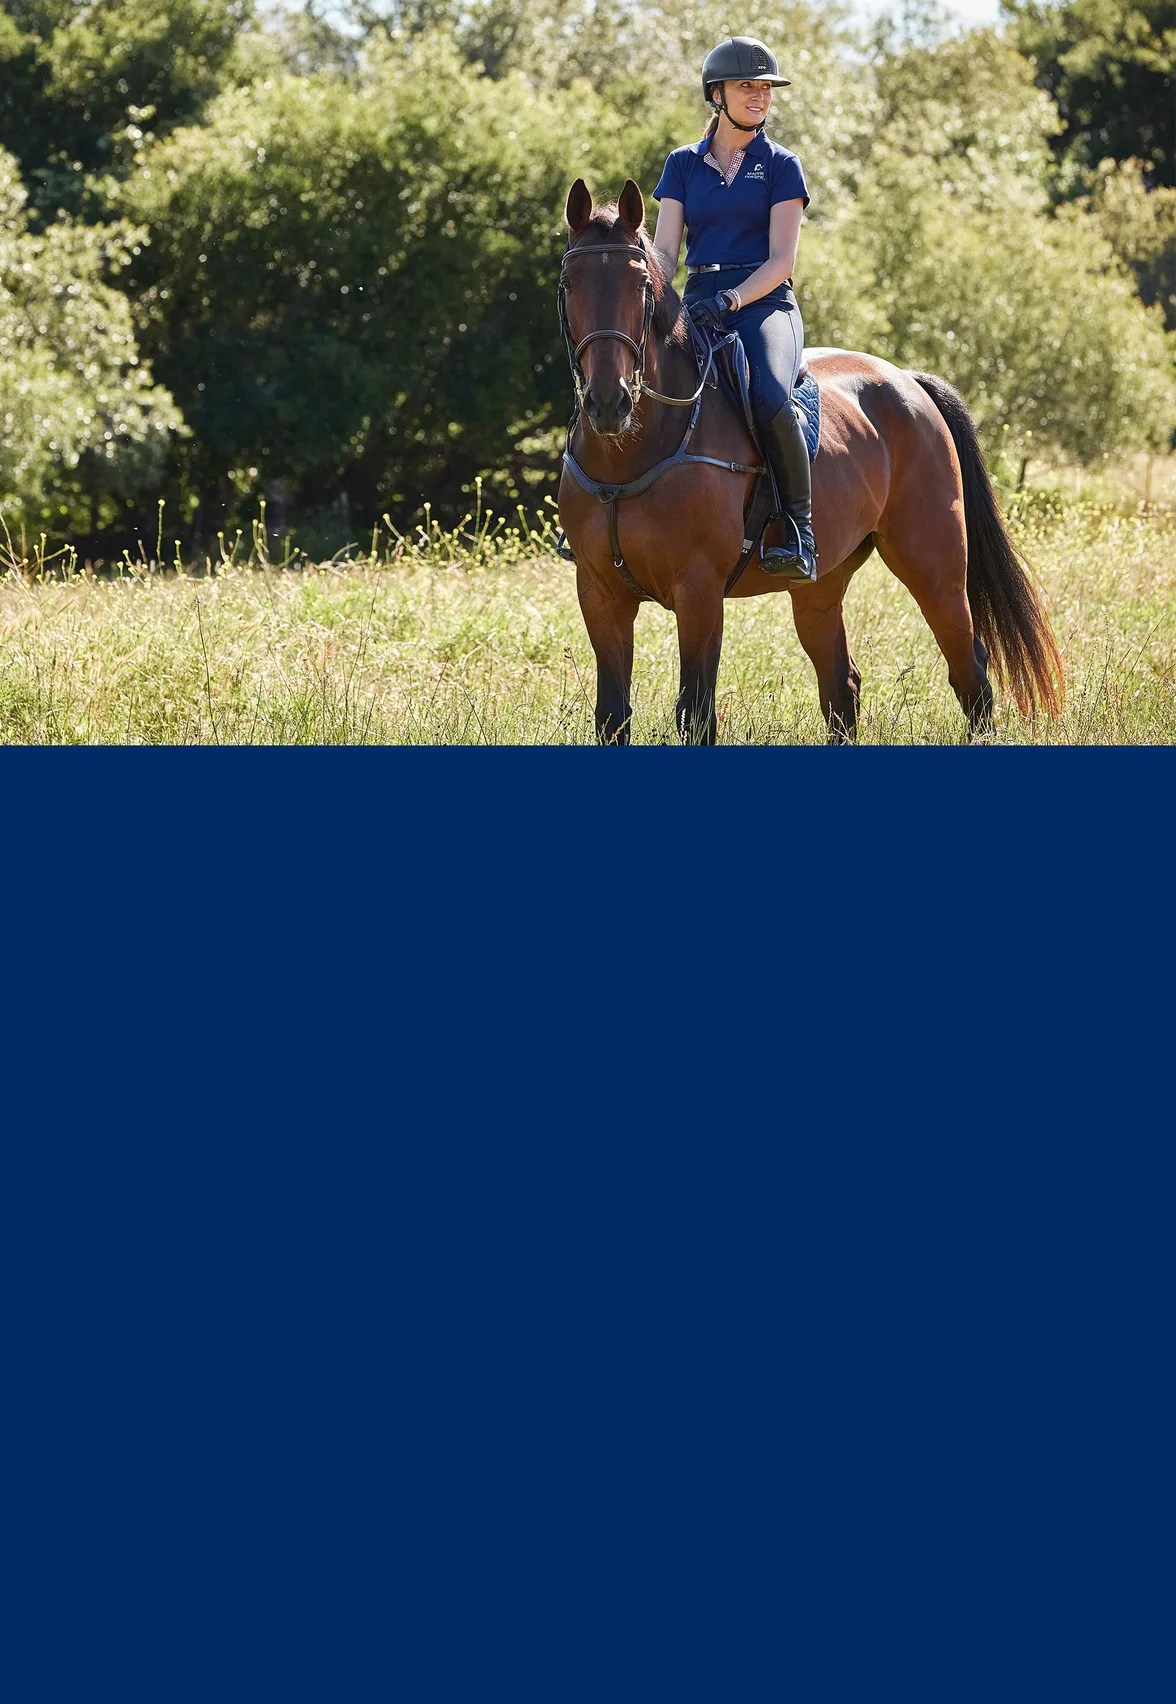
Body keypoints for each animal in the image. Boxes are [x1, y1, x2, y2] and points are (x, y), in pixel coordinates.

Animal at [556, 177, 1065, 745]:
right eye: (570, 283)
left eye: (642, 287)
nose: (609, 403)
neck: (632, 455)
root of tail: (909, 382)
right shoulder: (600, 593)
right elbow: (612, 716)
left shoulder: (699, 593)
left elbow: (696, 714)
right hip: (821, 586)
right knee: (841, 686)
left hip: (936, 570)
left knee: (969, 671)